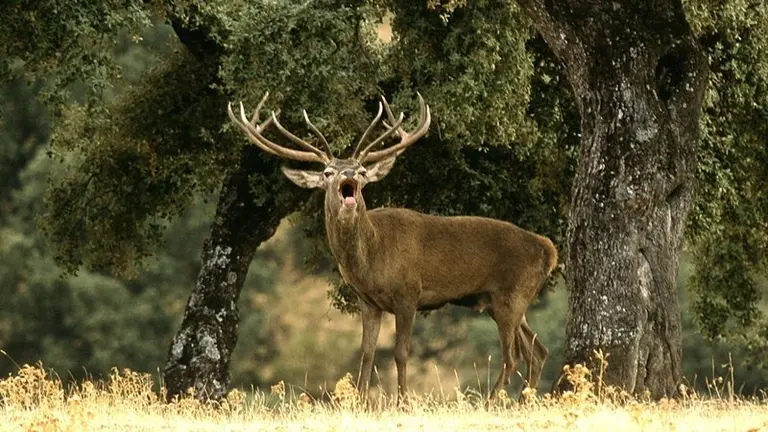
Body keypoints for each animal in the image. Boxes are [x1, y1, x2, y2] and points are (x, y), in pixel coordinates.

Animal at [227, 91, 557, 402]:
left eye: (361, 170)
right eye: (327, 173)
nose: (349, 175)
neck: (372, 258)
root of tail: (548, 249)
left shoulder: (408, 292)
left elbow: (401, 352)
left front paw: (402, 402)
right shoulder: (368, 300)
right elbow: (367, 352)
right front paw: (360, 402)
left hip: (510, 294)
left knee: (513, 356)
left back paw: (491, 403)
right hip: (504, 301)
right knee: (537, 351)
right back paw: (521, 401)